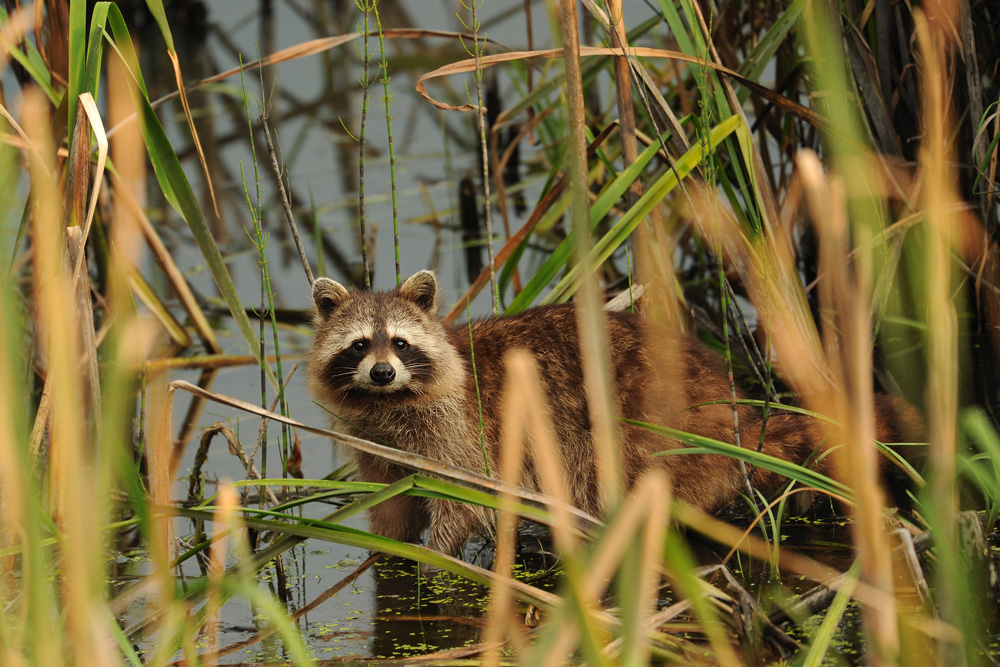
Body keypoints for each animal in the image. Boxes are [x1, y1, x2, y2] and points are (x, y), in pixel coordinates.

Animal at [306, 272, 920, 560]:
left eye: (400, 344)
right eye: (359, 346)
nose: (381, 373)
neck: (390, 405)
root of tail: (730, 403)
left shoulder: (460, 429)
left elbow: (465, 500)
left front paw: (439, 556)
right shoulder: (376, 442)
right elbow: (392, 502)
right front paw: (392, 550)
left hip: (645, 437)